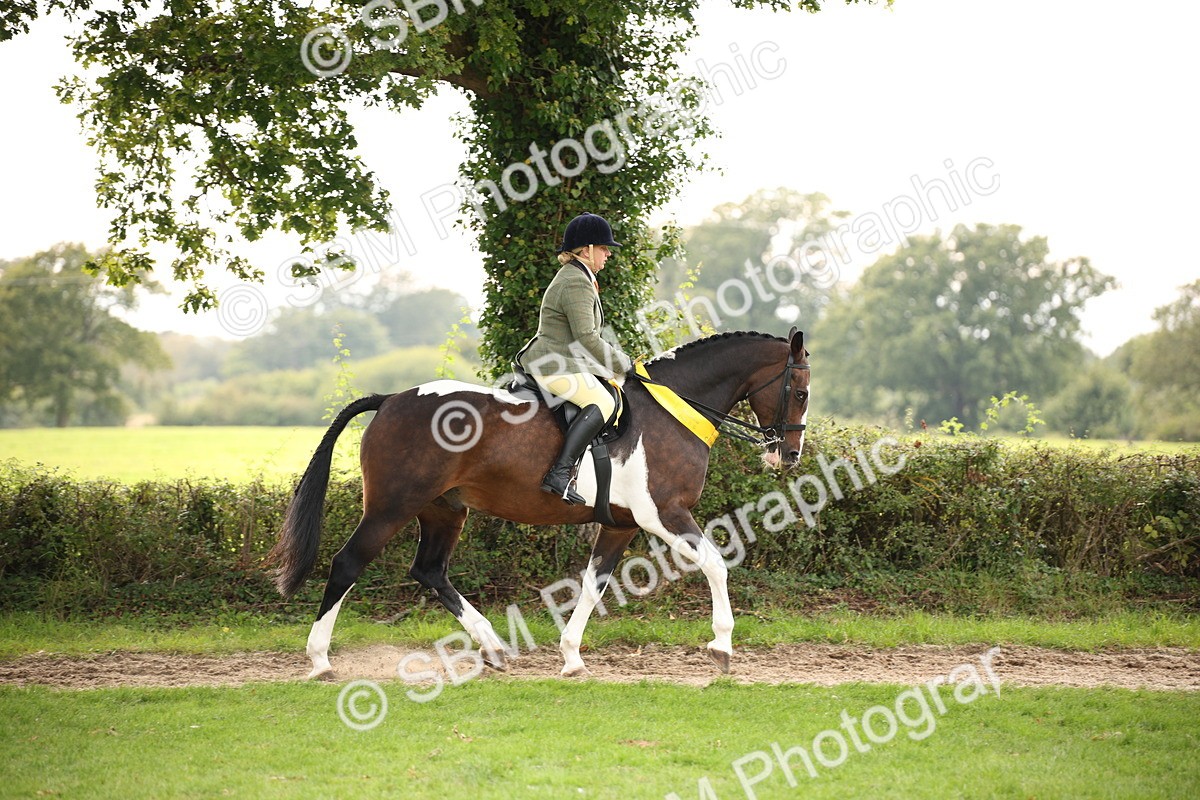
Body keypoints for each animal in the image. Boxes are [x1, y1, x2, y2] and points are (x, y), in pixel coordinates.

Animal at [269, 328, 811, 679]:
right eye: (801, 392)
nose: (789, 455)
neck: (673, 410)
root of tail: (390, 400)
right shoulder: (665, 514)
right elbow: (716, 564)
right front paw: (721, 646)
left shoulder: (622, 524)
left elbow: (594, 584)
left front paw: (571, 657)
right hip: (391, 508)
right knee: (348, 563)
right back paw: (319, 660)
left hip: (445, 509)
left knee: (430, 571)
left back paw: (492, 647)